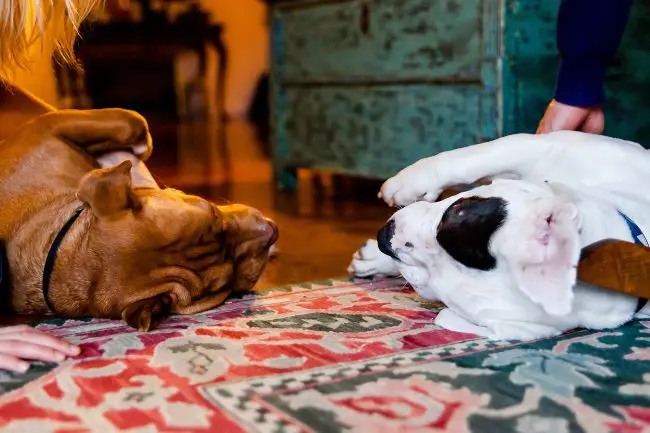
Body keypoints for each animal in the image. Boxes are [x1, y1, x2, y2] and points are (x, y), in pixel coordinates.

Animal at [0, 109, 276, 330]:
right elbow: (132, 120)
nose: (274, 231)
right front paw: (143, 146)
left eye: (214, 213)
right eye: (225, 284)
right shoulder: (50, 123)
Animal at [346, 130, 648, 340]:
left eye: (434, 292)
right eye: (456, 213)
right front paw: (409, 183)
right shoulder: (554, 146)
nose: (384, 236)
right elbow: (479, 154)